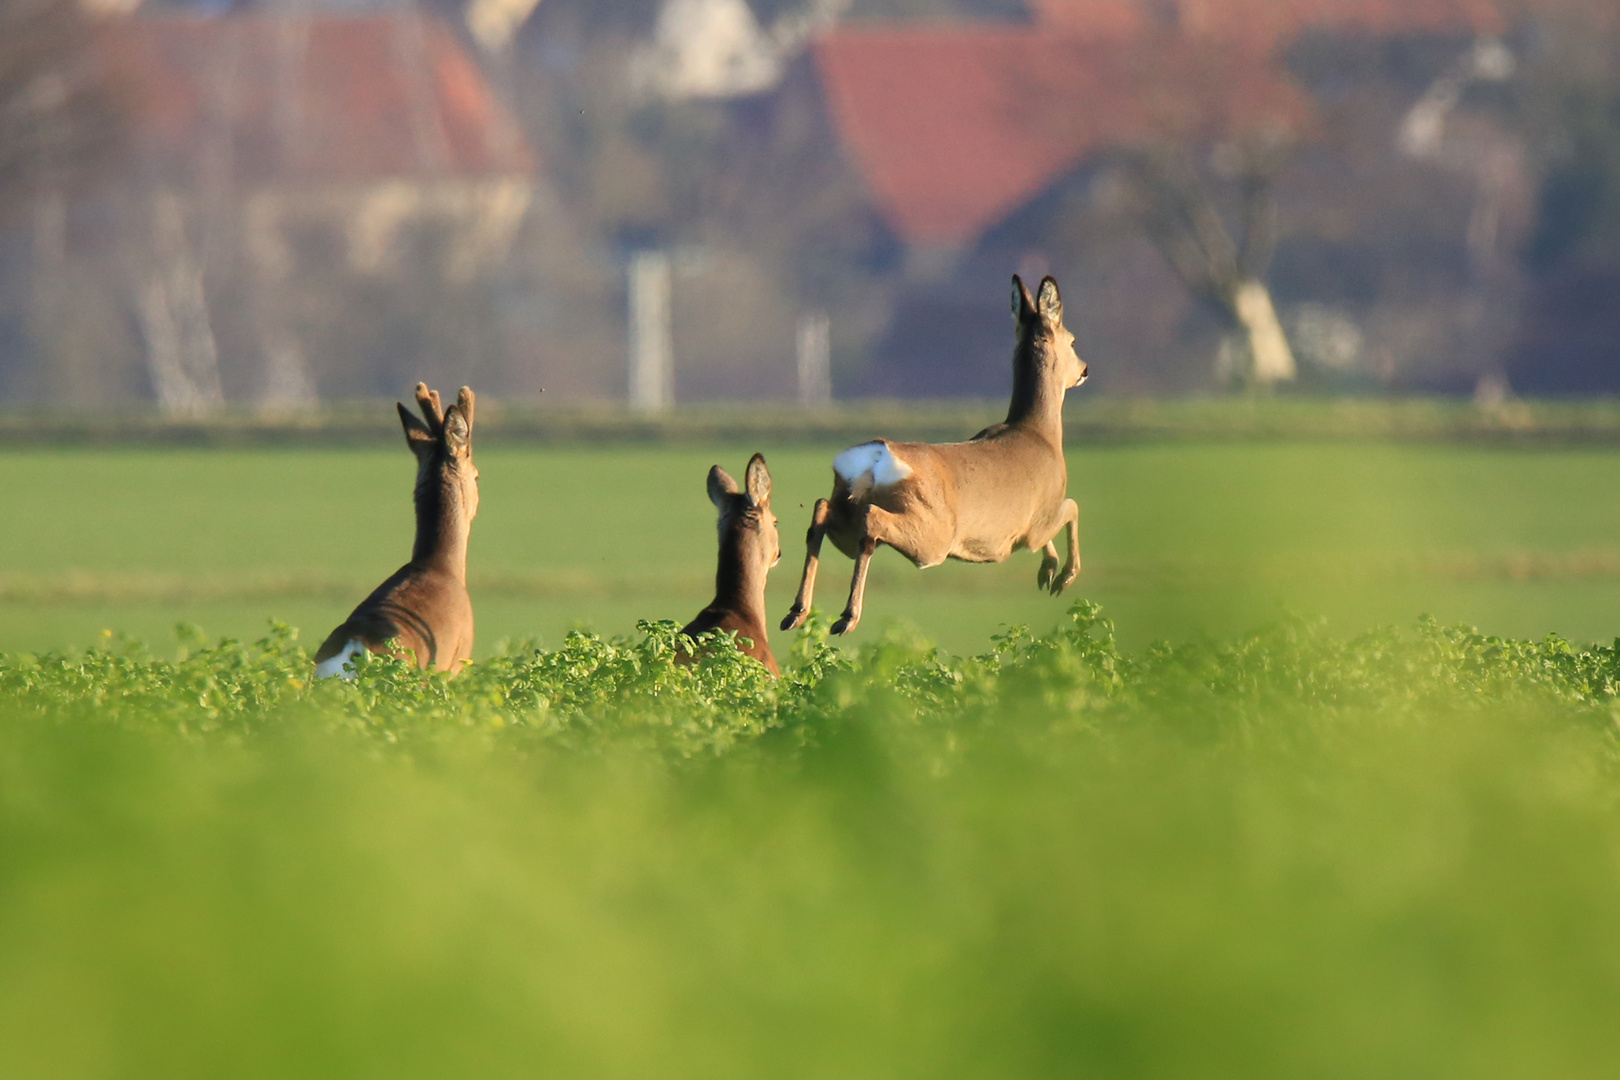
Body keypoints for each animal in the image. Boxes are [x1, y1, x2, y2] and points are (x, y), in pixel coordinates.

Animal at [780, 275, 1088, 637]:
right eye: (1072, 340)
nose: (1084, 370)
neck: (1040, 434)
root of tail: (876, 457)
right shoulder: (1038, 520)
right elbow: (1072, 508)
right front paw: (1062, 575)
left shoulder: (1032, 528)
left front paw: (1048, 570)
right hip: (932, 535)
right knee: (873, 519)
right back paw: (846, 617)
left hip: (848, 515)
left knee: (821, 513)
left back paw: (797, 612)